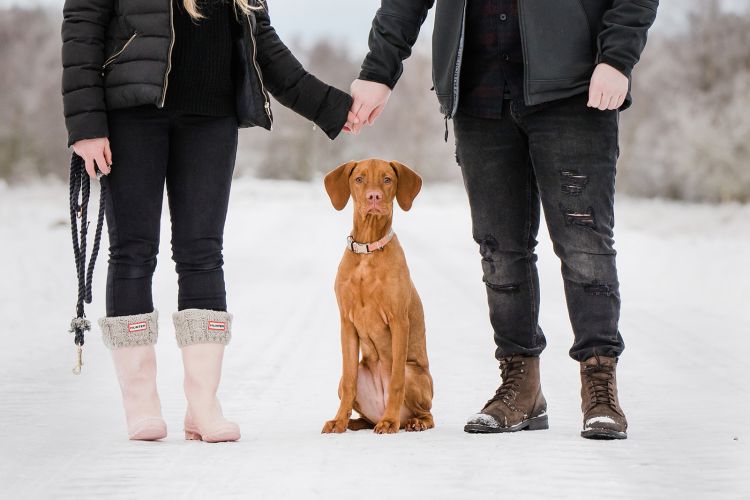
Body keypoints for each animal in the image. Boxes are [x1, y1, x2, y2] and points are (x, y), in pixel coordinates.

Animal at [322, 158, 434, 432]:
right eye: (359, 179)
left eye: (387, 179)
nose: (374, 196)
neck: (368, 252)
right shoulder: (346, 323)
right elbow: (350, 381)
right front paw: (338, 420)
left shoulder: (398, 321)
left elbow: (396, 382)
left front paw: (389, 422)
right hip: (352, 380)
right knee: (356, 399)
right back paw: (354, 422)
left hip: (413, 373)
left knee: (427, 412)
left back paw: (409, 421)